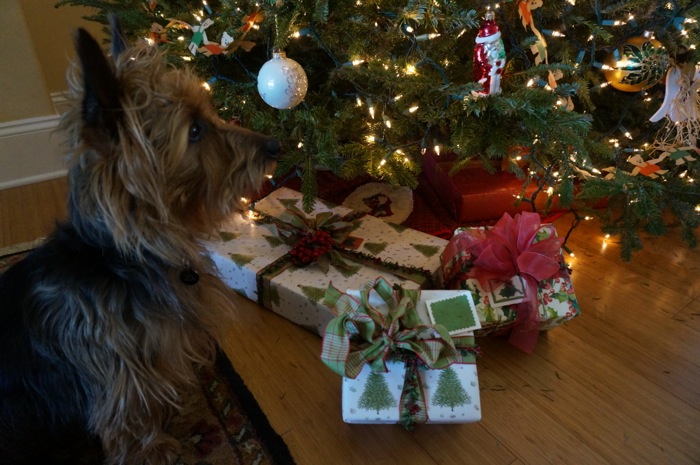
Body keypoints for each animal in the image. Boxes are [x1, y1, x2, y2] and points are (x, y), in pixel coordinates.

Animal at [0, 18, 278, 464]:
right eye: (194, 130)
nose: (276, 146)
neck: (122, 257)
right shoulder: (121, 377)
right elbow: (130, 418)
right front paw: (155, 449)